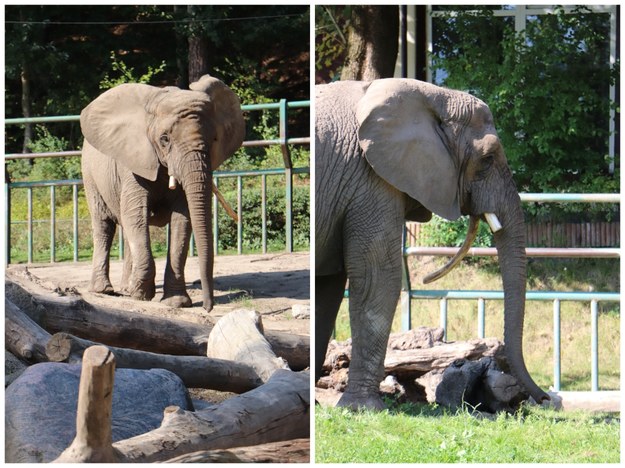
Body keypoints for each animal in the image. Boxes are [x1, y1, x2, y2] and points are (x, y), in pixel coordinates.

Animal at [78, 75, 244, 312]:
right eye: (164, 139)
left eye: (214, 139)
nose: (208, 307)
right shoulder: (133, 163)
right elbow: (135, 214)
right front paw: (141, 295)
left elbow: (182, 221)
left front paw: (176, 302)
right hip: (90, 173)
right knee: (104, 225)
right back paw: (104, 290)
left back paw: (126, 288)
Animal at [314, 78, 548, 412]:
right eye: (488, 159)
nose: (545, 398)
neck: (431, 95)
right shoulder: (370, 179)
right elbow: (377, 276)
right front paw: (363, 409)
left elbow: (328, 287)